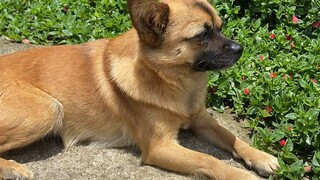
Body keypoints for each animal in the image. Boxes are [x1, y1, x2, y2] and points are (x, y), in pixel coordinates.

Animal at [0, 0, 278, 179]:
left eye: (219, 27)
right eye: (202, 34)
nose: (240, 49)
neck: (177, 80)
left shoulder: (200, 119)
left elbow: (231, 137)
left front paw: (260, 157)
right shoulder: (160, 148)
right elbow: (207, 160)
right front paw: (242, 175)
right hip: (48, 110)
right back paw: (12, 169)